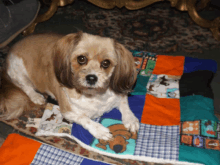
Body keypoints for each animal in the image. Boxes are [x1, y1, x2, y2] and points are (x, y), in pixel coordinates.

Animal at [0, 31, 139, 140]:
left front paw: (131, 119)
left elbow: (125, 105)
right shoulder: (68, 111)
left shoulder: (118, 96)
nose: (91, 77)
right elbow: (84, 117)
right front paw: (99, 130)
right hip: (19, 70)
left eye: (106, 63)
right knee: (25, 87)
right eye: (81, 59)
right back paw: (36, 96)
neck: (94, 95)